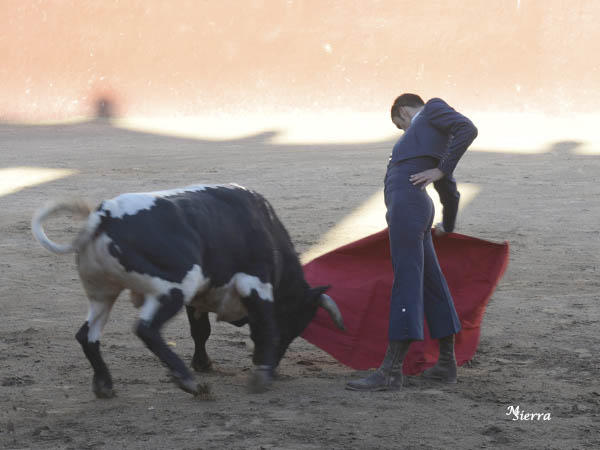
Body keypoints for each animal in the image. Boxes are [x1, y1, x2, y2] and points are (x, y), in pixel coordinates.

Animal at [32, 183, 344, 398]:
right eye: (295, 323)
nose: (275, 366)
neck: (265, 227)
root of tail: (105, 214)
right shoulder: (254, 282)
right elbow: (266, 325)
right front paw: (261, 374)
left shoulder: (200, 297)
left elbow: (200, 330)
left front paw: (203, 363)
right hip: (173, 286)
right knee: (146, 329)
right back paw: (189, 382)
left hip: (102, 292)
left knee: (87, 335)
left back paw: (105, 385)